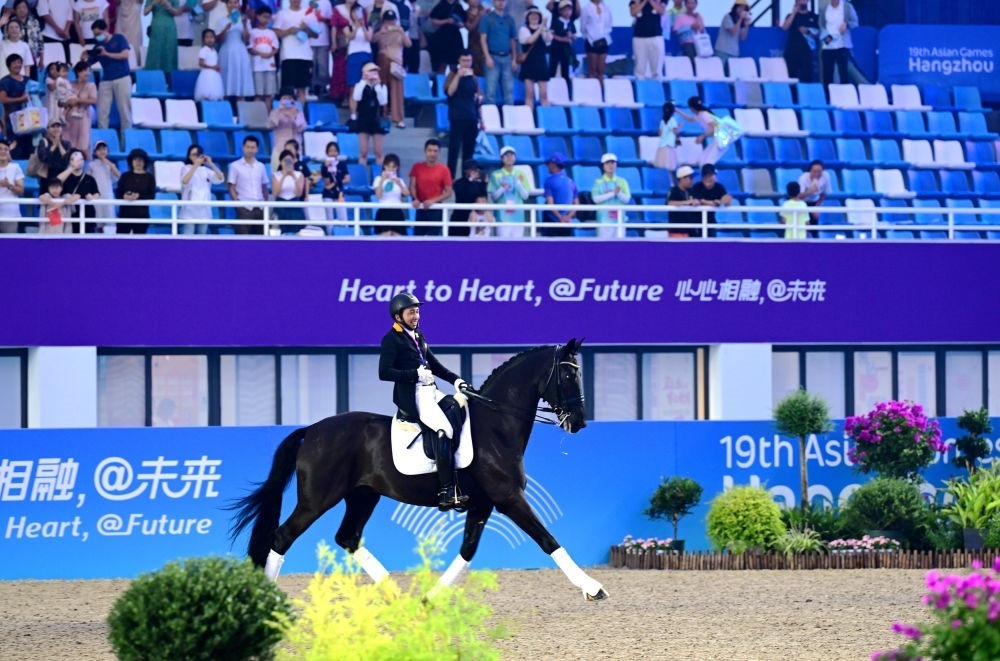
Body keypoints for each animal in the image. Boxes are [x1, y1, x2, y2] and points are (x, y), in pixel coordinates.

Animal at [229, 338, 609, 600]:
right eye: (567, 373)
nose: (578, 422)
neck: (494, 426)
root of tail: (311, 430)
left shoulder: (483, 503)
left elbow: (467, 552)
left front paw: (429, 599)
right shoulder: (508, 498)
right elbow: (548, 540)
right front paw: (592, 588)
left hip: (362, 496)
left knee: (347, 537)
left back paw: (397, 596)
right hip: (317, 499)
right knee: (282, 537)